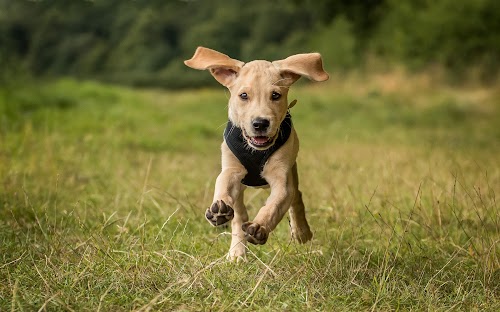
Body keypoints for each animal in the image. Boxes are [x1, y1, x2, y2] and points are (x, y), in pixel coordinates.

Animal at [184, 47, 328, 260]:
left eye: (275, 95)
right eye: (243, 95)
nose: (260, 123)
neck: (256, 151)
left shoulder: (281, 180)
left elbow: (275, 205)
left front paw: (260, 226)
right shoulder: (232, 170)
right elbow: (223, 185)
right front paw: (219, 209)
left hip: (292, 172)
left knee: (296, 197)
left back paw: (301, 232)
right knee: (239, 215)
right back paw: (236, 253)